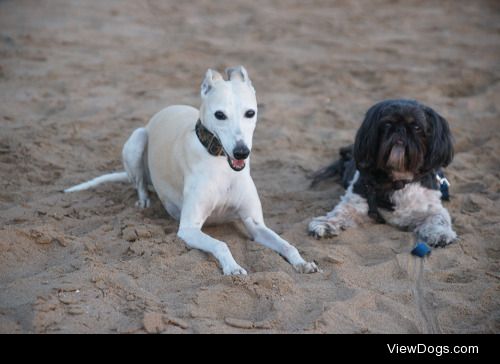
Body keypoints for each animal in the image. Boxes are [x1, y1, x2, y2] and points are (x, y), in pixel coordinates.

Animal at [64, 66, 318, 276]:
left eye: (250, 113)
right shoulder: (188, 228)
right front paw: (233, 267)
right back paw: (144, 200)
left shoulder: (255, 224)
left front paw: (303, 263)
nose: (241, 152)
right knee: (139, 183)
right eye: (219, 115)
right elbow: (220, 243)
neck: (219, 162)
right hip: (137, 139)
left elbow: (287, 244)